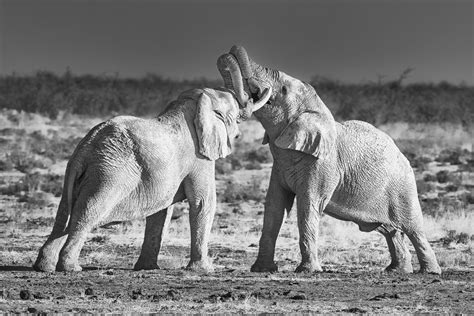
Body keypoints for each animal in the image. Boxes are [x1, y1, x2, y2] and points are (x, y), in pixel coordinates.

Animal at [33, 86, 270, 272]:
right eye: (233, 113)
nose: (238, 134)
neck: (195, 104)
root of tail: (85, 147)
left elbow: (161, 212)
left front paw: (148, 268)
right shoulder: (199, 158)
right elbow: (203, 203)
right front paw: (204, 270)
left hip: (77, 173)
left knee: (65, 214)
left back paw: (44, 266)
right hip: (110, 173)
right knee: (87, 211)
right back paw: (71, 268)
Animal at [218, 45, 440, 276]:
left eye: (283, 89)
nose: (231, 50)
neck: (317, 111)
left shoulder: (323, 165)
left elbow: (308, 205)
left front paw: (307, 271)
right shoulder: (279, 166)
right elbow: (274, 206)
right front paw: (262, 270)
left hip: (403, 187)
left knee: (414, 229)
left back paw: (430, 272)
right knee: (390, 230)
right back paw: (396, 271)